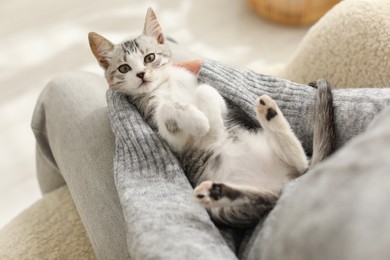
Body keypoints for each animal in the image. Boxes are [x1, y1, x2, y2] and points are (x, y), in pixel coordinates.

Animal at [88, 7, 336, 228]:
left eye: (150, 58)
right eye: (124, 68)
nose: (140, 74)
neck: (166, 85)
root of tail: (282, 183)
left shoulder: (216, 97)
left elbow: (206, 90)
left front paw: (212, 124)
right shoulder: (167, 132)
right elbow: (168, 110)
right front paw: (201, 123)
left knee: (299, 162)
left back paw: (270, 115)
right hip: (230, 209)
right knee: (266, 196)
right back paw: (216, 192)